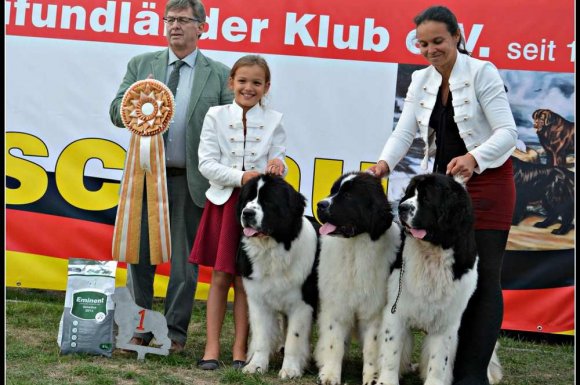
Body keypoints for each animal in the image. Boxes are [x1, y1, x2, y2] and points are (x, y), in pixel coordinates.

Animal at [236, 175, 320, 378]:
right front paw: (256, 366)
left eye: (267, 201)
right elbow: (261, 336)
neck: (272, 249)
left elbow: (294, 340)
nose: (247, 213)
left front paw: (290, 369)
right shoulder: (258, 301)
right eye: (247, 199)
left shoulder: (302, 304)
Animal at [314, 172, 402, 384]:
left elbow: (371, 349)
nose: (320, 204)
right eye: (333, 191)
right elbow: (334, 343)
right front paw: (330, 374)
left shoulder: (374, 312)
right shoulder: (336, 307)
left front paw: (372, 377)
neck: (354, 248)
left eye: (348, 196)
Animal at [378, 174, 500, 384]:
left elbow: (438, 360)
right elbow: (391, 351)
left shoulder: (447, 321)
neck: (433, 252)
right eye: (409, 193)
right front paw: (387, 380)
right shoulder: (397, 310)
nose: (402, 207)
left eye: (426, 198)